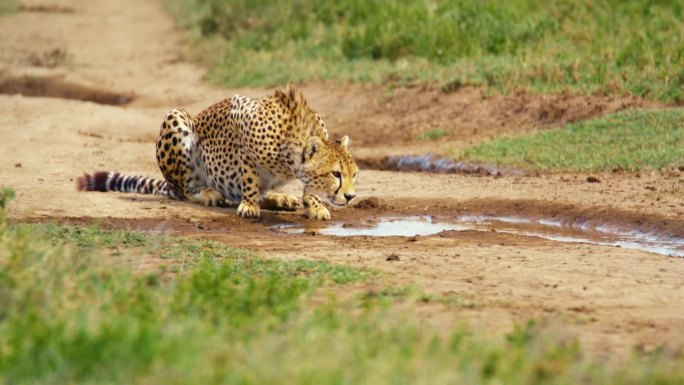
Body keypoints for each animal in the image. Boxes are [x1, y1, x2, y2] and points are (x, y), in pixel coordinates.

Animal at [77, 83, 358, 219]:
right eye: (336, 174)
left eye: (354, 174)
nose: (351, 196)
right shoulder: (239, 115)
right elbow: (249, 176)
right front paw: (249, 205)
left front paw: (314, 205)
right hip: (176, 117)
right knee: (183, 190)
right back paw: (208, 193)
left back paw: (279, 198)